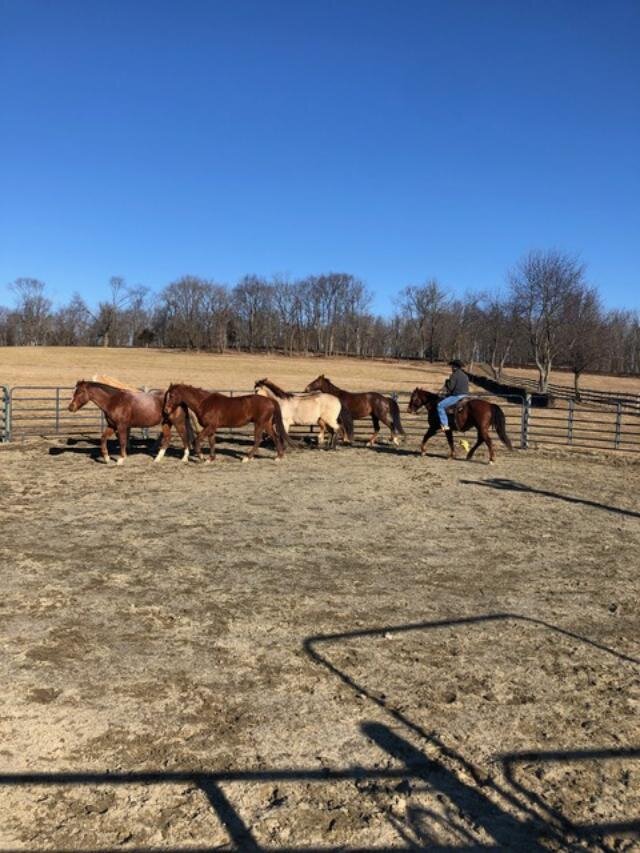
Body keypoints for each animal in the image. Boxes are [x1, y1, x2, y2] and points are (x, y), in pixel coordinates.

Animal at [67, 382, 195, 466]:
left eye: (80, 392)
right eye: (74, 391)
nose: (70, 407)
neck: (114, 401)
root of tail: (180, 399)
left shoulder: (122, 426)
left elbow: (122, 442)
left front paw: (121, 459)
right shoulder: (112, 426)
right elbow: (103, 439)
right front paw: (107, 458)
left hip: (178, 422)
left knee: (184, 437)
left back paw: (184, 458)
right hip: (166, 423)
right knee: (168, 438)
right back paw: (157, 459)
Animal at [162, 384, 292, 462]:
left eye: (171, 395)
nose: (166, 410)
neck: (204, 403)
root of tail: (270, 400)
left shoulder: (210, 426)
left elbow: (197, 440)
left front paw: (202, 457)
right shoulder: (212, 428)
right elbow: (212, 442)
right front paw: (211, 458)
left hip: (260, 424)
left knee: (258, 440)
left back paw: (247, 458)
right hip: (266, 424)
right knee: (275, 437)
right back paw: (278, 456)